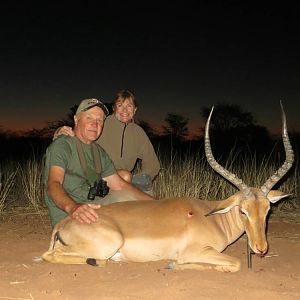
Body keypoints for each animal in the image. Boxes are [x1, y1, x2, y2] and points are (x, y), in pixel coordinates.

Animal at [41, 102, 294, 272]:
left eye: (267, 210)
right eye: (243, 211)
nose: (261, 248)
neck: (212, 217)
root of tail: (65, 222)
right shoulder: (197, 251)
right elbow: (234, 262)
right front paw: (176, 264)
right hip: (107, 244)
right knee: (49, 255)